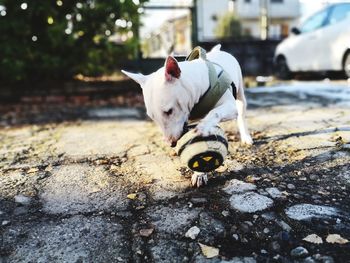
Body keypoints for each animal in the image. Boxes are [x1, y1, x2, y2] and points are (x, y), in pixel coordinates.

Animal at [122, 44, 252, 188]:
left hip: (240, 94)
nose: (171, 143)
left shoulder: (229, 106)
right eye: (152, 117)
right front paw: (199, 174)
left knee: (241, 112)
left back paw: (246, 137)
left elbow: (214, 113)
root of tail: (219, 51)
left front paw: (204, 126)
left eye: (169, 111)